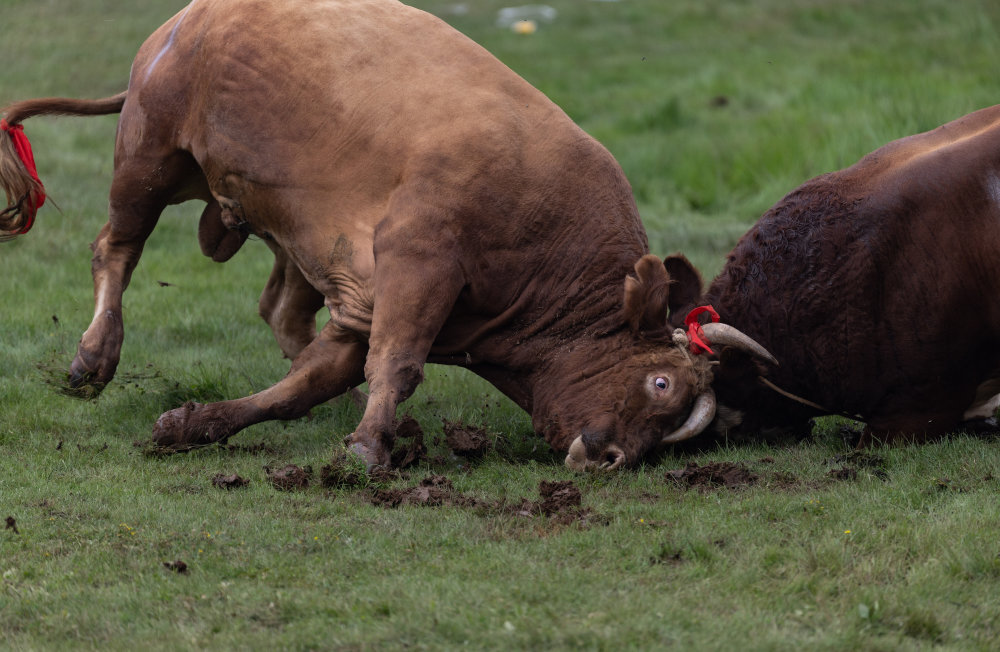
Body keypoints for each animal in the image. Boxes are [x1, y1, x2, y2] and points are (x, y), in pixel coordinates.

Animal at [0, 0, 772, 468]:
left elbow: (310, 381)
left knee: (281, 309)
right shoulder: (418, 261)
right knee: (117, 248)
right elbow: (395, 364)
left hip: (280, 223)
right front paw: (370, 445)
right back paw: (93, 356)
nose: (615, 460)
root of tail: (182, 22)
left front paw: (198, 424)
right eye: (660, 383)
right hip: (150, 152)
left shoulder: (374, 301)